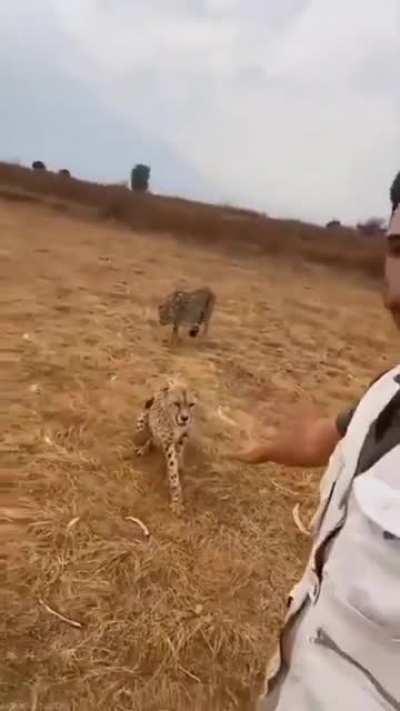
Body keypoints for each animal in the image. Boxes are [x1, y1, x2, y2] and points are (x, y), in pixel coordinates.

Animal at [134, 377, 197, 515]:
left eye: (191, 405)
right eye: (176, 404)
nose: (185, 418)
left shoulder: (184, 435)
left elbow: (177, 457)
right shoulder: (168, 442)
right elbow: (173, 469)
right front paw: (176, 500)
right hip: (143, 421)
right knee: (147, 431)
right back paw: (144, 447)